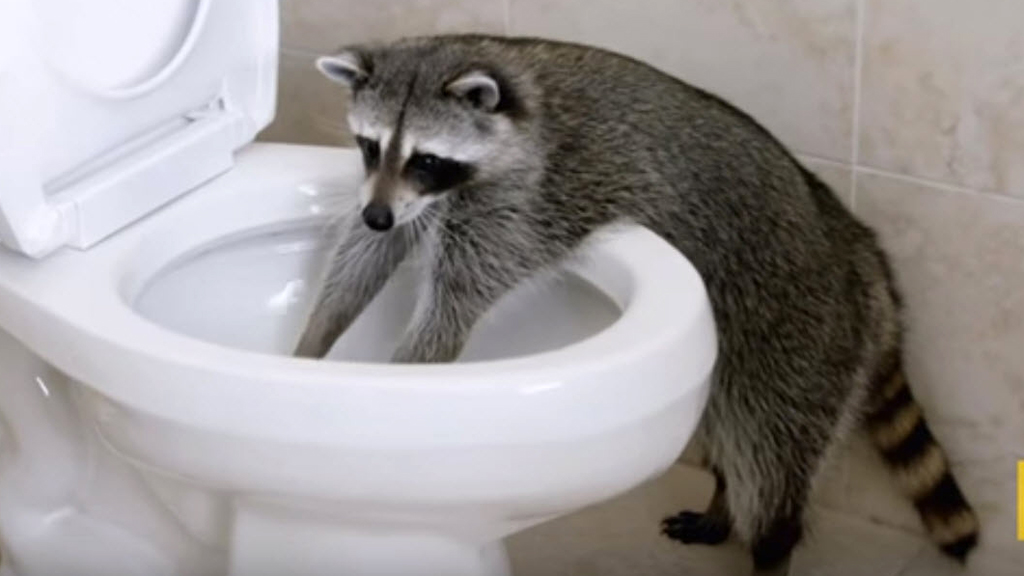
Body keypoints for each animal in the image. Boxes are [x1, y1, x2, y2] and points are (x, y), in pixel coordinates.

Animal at [293, 34, 979, 573]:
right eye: (370, 146)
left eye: (427, 158)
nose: (377, 212)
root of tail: (858, 248)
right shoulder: (407, 199)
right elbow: (364, 258)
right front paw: (313, 339)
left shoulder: (527, 201)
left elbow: (455, 305)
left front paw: (404, 375)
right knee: (726, 428)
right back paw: (722, 503)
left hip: (800, 325)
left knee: (770, 450)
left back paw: (770, 543)